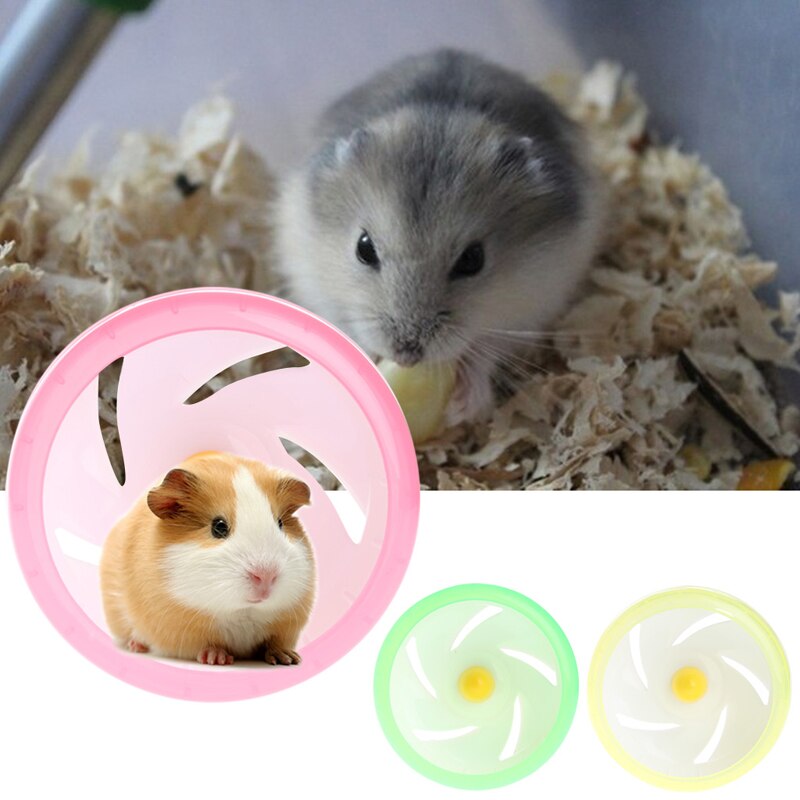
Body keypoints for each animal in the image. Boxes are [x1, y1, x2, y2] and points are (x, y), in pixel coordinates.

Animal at [99, 451, 315, 666]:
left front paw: (288, 659)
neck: (243, 612)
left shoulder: (285, 626)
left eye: (280, 523)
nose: (266, 576)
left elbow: (274, 643)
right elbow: (207, 645)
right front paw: (218, 659)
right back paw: (136, 646)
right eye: (218, 526)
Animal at [274, 48, 605, 424]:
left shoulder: (530, 307)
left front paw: (462, 408)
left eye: (473, 259)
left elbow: (485, 350)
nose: (406, 355)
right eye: (364, 248)